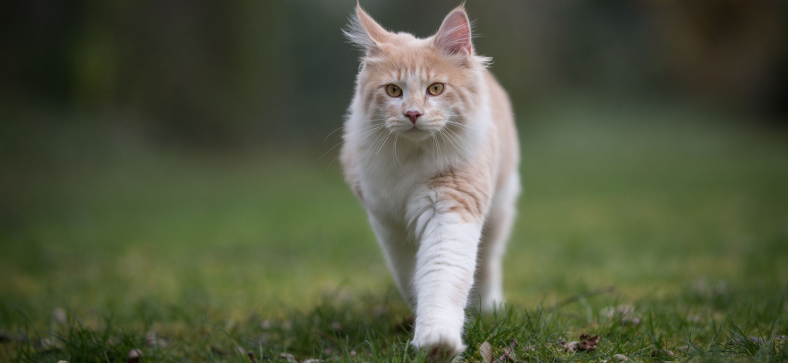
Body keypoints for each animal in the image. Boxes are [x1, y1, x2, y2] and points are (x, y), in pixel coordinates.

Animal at [340, 2, 520, 362]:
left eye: (435, 89)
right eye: (393, 90)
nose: (412, 114)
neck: (414, 156)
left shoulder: (450, 208)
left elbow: (441, 276)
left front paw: (438, 341)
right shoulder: (389, 224)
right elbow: (412, 275)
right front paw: (419, 322)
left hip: (499, 211)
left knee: (489, 264)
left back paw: (489, 308)